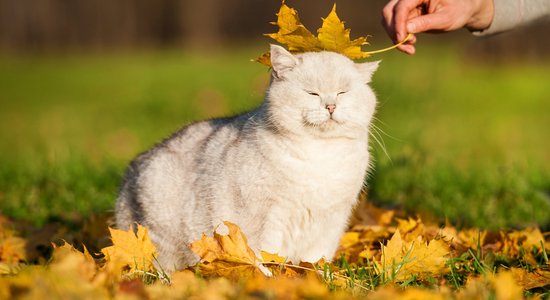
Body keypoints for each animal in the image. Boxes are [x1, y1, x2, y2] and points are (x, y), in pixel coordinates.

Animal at [115, 44, 380, 272]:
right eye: (312, 93)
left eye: (343, 92)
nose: (331, 106)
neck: (321, 154)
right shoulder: (264, 218)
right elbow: (264, 257)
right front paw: (270, 279)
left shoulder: (331, 220)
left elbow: (316, 259)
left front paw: (318, 277)